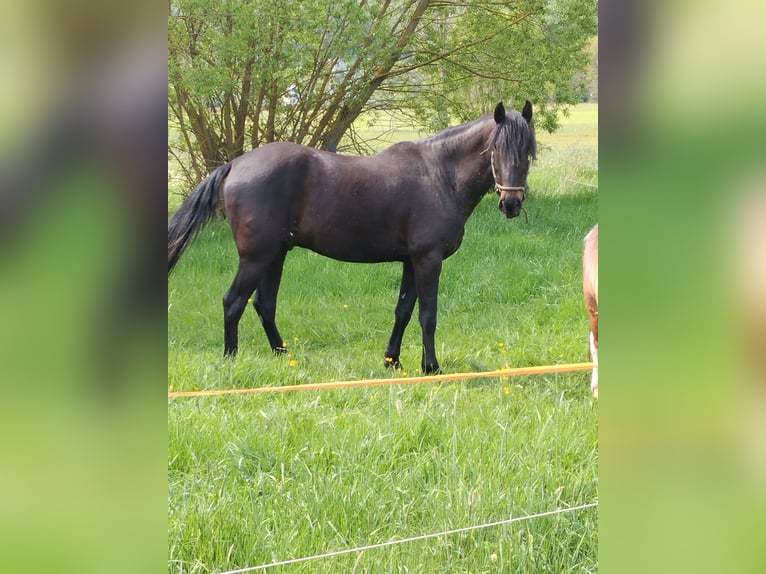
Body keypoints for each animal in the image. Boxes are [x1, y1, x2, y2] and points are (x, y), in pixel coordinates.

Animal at [168, 101, 536, 374]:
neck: (438, 175)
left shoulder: (410, 261)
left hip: (276, 254)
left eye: (528, 152)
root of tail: (235, 164)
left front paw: (392, 361)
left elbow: (403, 312)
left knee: (264, 304)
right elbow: (427, 315)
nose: (511, 203)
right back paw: (231, 359)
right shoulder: (427, 259)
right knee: (234, 301)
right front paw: (431, 367)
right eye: (495, 149)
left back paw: (283, 355)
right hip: (256, 257)